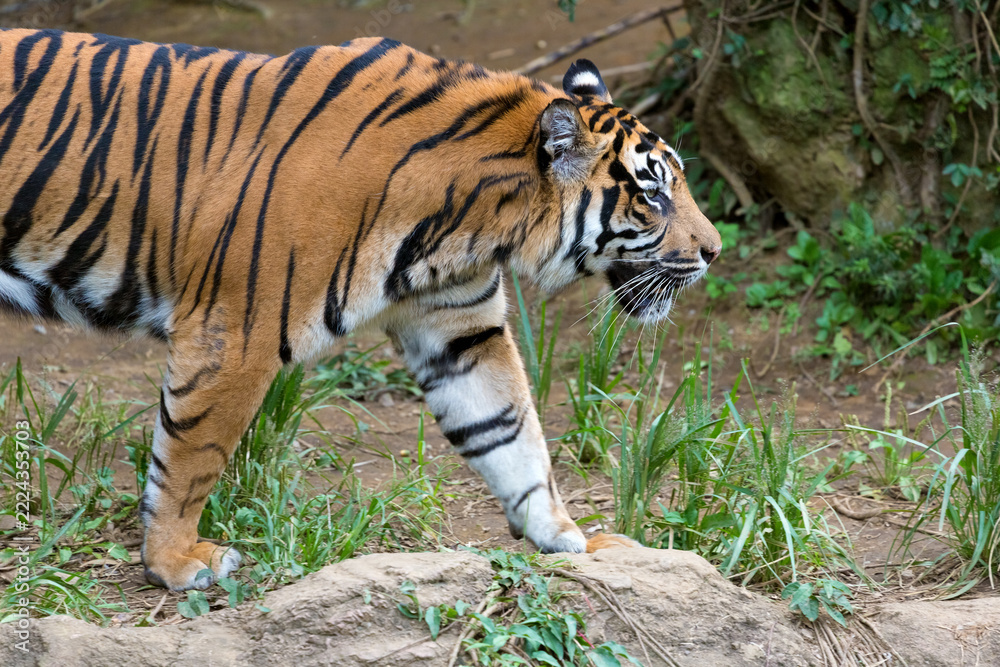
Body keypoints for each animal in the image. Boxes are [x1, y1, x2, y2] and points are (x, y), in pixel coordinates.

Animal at [0, 29, 722, 591]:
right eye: (653, 193)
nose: (714, 250)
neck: (472, 221)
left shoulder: (461, 331)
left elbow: (513, 434)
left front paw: (571, 538)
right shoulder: (234, 332)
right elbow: (192, 453)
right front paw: (178, 561)